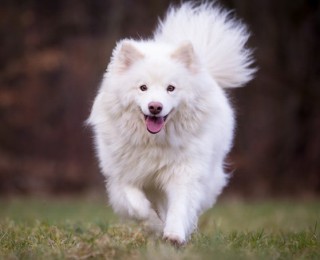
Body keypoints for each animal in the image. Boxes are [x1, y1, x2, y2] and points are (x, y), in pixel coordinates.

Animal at [88, 2, 255, 246]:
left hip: (209, 174)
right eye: (143, 87)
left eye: (171, 88)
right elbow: (138, 207)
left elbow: (179, 206)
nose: (155, 107)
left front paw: (174, 234)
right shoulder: (123, 176)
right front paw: (156, 226)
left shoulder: (184, 173)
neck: (154, 142)